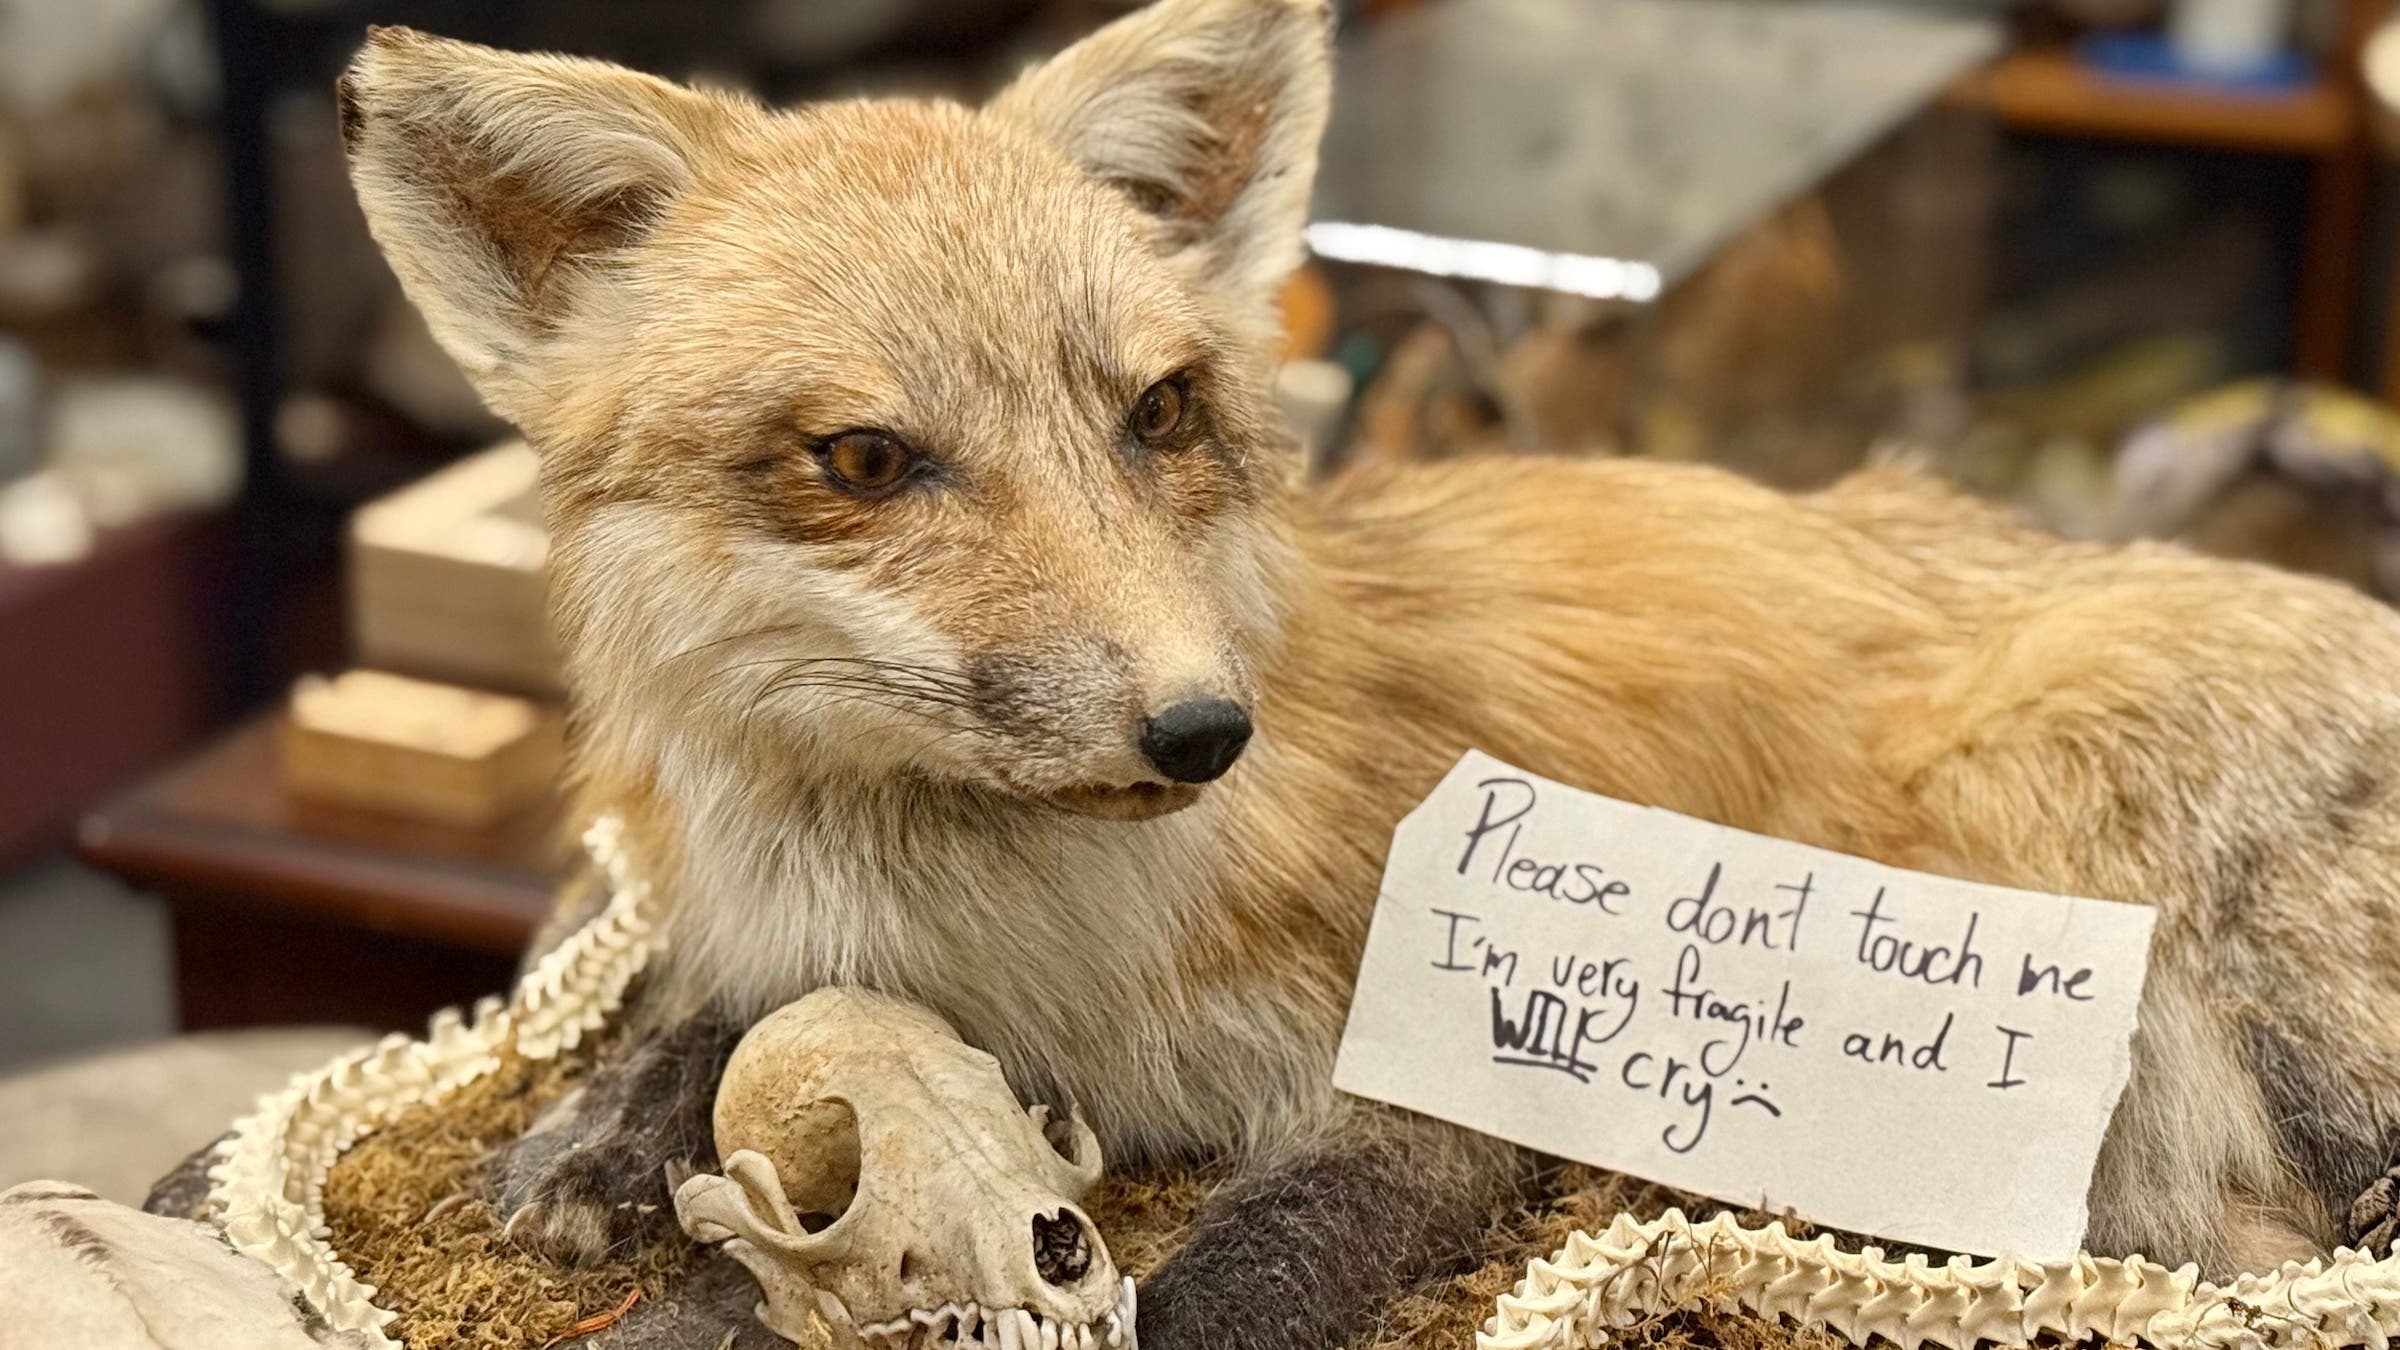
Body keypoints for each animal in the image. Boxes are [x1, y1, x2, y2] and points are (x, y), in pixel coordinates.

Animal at [330, 1, 2400, 1346]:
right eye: (863, 459)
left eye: (1160, 412)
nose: (1201, 730)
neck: (1001, 939)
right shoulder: (797, 940)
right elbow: (694, 1008)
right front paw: (599, 1137)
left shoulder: (1427, 1067)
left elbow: (1231, 1281)